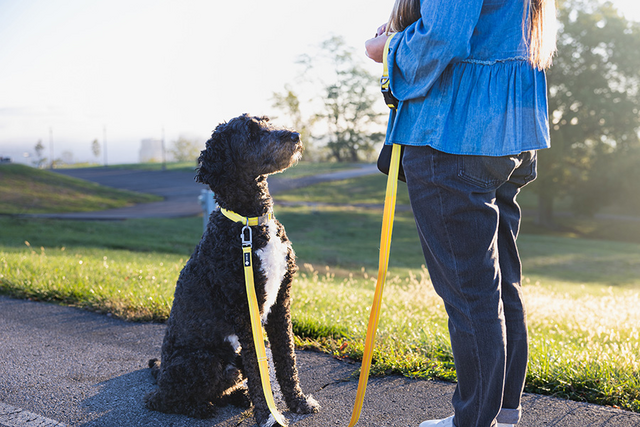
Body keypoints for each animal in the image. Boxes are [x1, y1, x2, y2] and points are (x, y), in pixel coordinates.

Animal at [142, 114, 318, 427]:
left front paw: (297, 402)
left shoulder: (280, 302)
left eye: (267, 122)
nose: (295, 135)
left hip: (231, 361)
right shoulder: (245, 310)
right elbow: (260, 372)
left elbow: (287, 358)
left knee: (222, 385)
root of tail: (161, 374)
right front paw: (268, 415)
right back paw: (199, 408)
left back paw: (237, 396)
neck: (250, 223)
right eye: (250, 132)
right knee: (162, 400)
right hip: (204, 360)